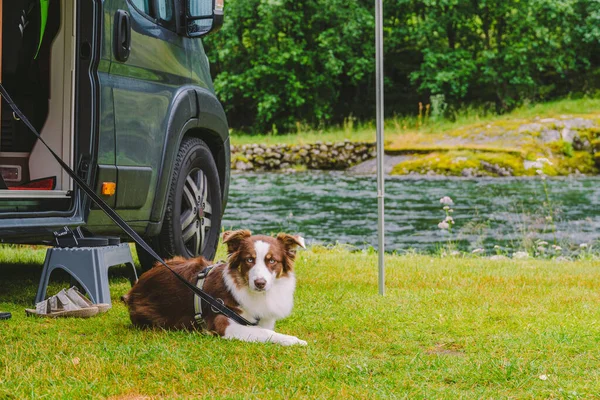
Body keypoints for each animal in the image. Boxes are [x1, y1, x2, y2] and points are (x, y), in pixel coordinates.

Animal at [123, 230, 308, 346]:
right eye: (249, 260)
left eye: (272, 261)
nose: (260, 283)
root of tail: (135, 288)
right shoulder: (223, 323)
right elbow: (265, 333)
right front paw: (293, 340)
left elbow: (264, 329)